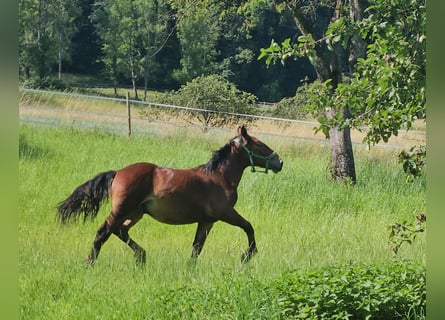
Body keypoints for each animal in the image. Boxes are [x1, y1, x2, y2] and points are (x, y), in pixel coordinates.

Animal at [57, 125, 282, 264]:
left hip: (136, 213)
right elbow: (248, 227)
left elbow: (197, 247)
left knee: (120, 231)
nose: (279, 162)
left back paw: (141, 257)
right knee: (103, 232)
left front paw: (190, 268)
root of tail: (118, 173)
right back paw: (89, 263)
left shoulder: (207, 221)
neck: (219, 177)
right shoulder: (225, 213)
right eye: (259, 144)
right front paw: (248, 255)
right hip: (122, 210)